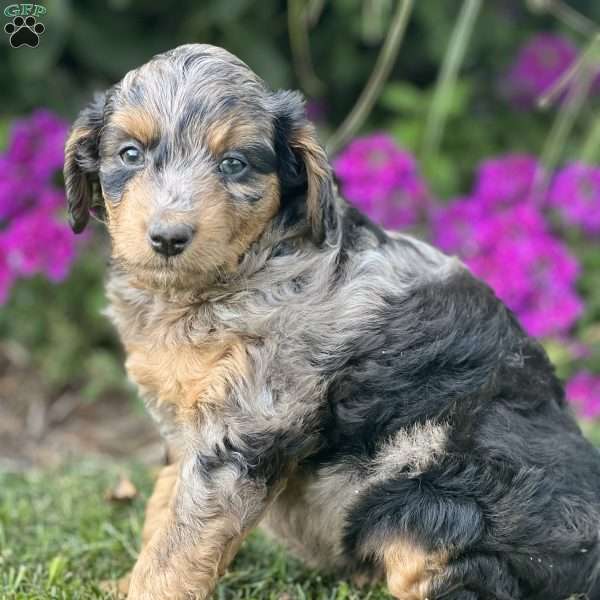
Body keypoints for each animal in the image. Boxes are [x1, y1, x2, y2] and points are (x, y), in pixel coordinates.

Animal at [63, 44, 600, 596]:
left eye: (234, 164)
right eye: (130, 155)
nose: (168, 238)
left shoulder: (246, 426)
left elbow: (181, 543)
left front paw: (148, 586)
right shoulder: (182, 430)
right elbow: (164, 512)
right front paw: (124, 584)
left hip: (432, 501)